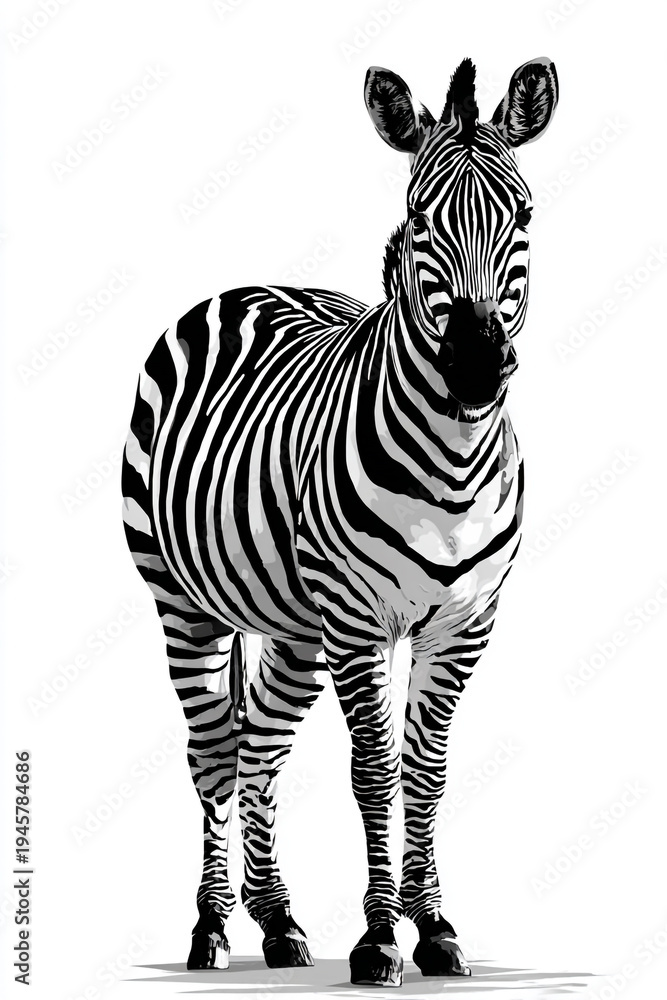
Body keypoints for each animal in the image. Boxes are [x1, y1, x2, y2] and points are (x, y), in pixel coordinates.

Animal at [121, 56, 558, 987]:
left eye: (524, 214)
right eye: (419, 216)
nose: (475, 362)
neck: (453, 460)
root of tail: (249, 287)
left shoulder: (464, 623)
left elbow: (425, 770)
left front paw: (435, 930)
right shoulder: (358, 621)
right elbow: (372, 771)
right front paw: (379, 938)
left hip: (292, 626)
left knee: (258, 750)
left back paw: (277, 921)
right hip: (183, 604)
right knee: (213, 756)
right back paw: (210, 930)